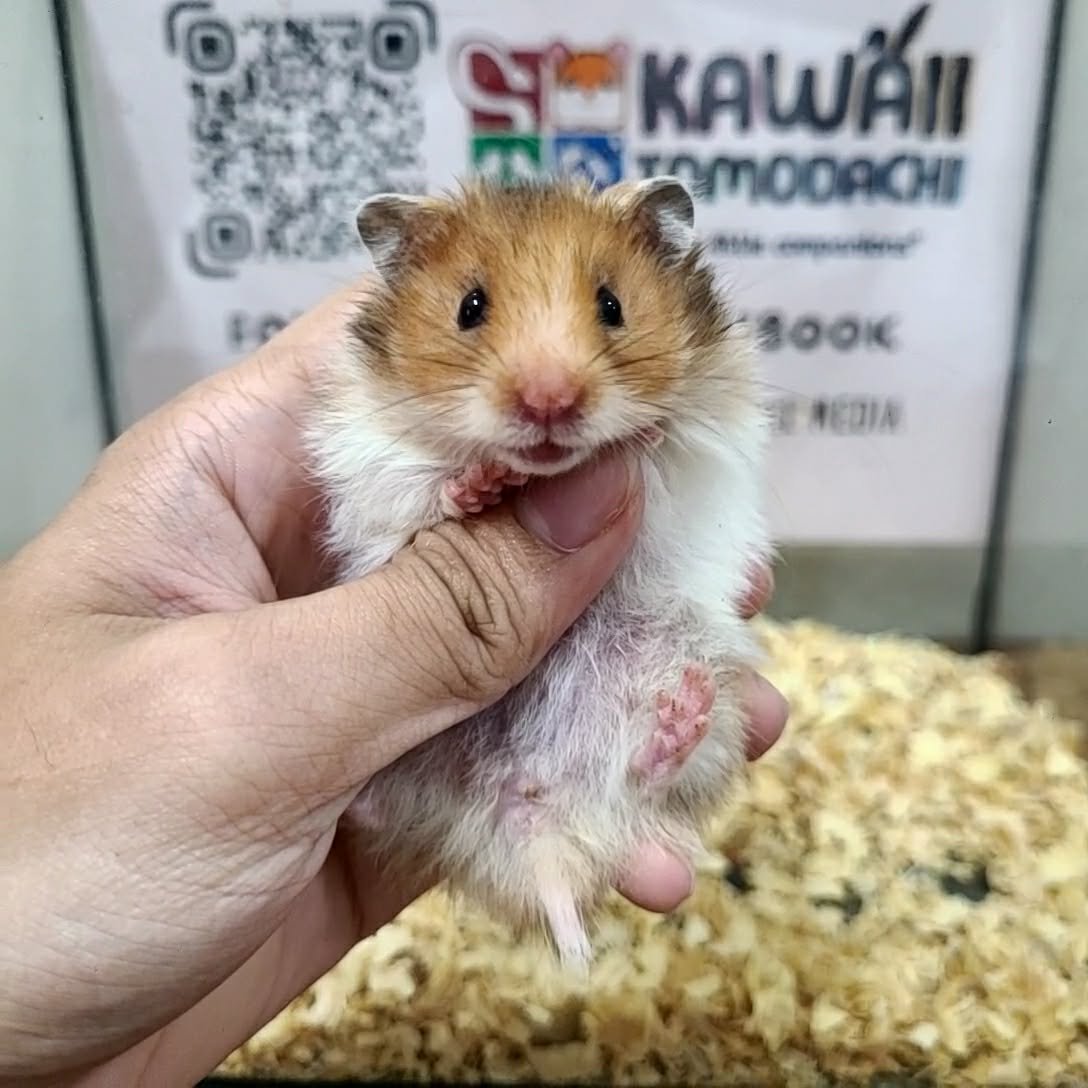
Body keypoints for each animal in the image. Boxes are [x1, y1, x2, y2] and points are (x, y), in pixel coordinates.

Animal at [305, 174, 770, 969]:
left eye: (612, 305)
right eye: (470, 307)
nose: (549, 401)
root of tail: (527, 816)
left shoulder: (708, 439)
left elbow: (665, 446)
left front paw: (642, 432)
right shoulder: (371, 465)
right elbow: (422, 500)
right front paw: (478, 487)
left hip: (680, 670)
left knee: (653, 771)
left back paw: (679, 719)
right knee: (383, 806)